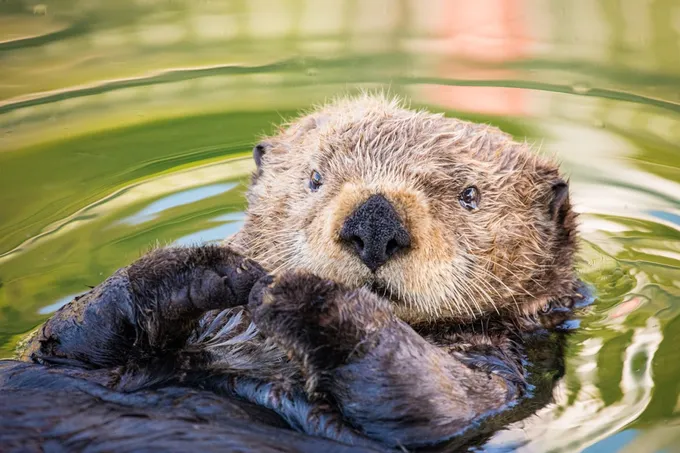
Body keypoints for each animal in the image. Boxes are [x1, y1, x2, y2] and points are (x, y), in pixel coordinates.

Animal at [0, 95, 583, 452]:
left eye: (469, 195)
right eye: (315, 178)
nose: (374, 221)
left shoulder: (501, 375)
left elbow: (434, 400)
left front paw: (302, 292)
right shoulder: (75, 354)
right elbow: (70, 337)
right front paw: (208, 269)